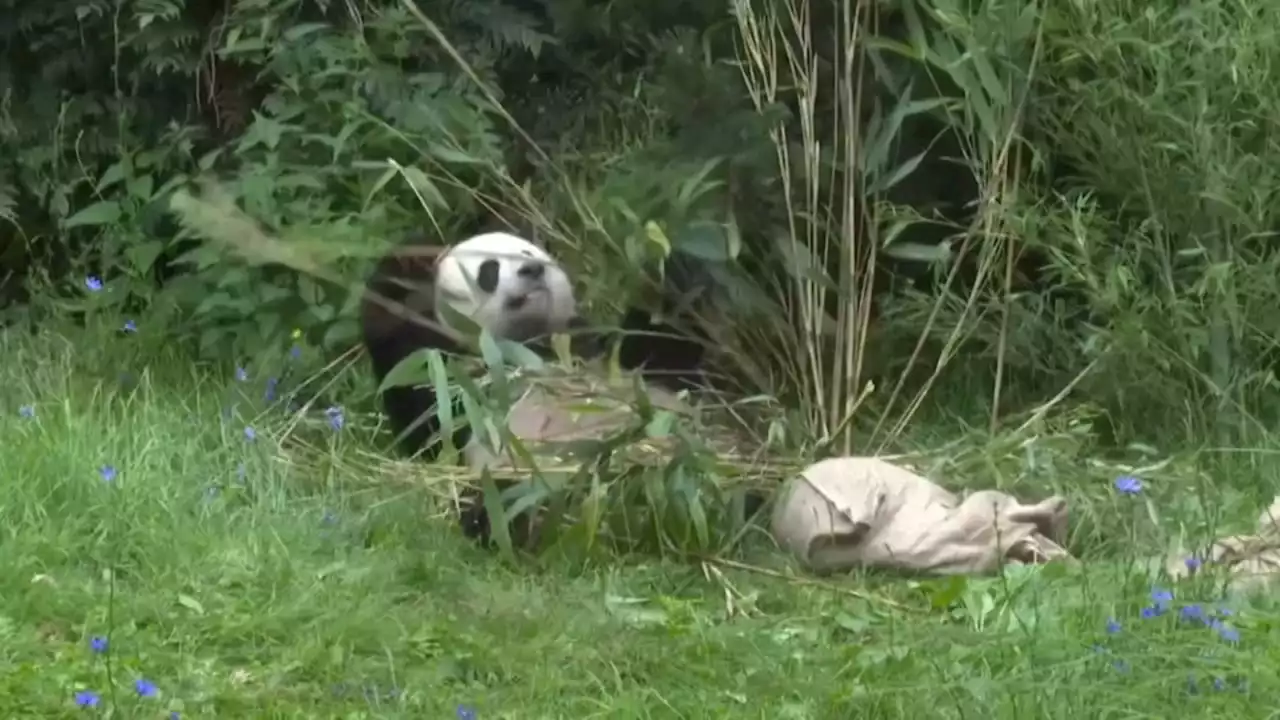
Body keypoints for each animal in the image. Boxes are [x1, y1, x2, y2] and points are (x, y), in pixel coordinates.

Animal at [360, 226, 732, 545]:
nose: (532, 270)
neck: (528, 344)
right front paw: (403, 266)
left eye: (527, 252)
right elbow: (426, 420)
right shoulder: (461, 381)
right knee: (505, 499)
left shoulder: (590, 352)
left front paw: (679, 262)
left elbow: (658, 352)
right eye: (490, 270)